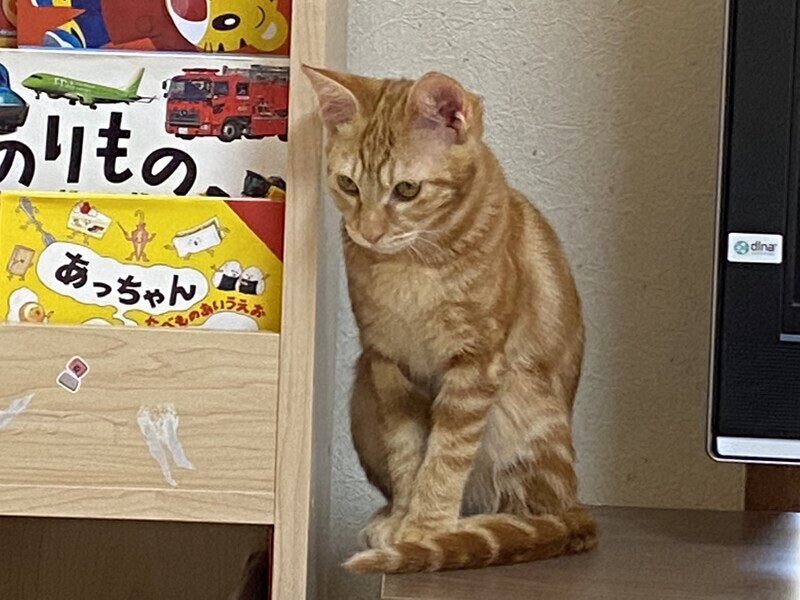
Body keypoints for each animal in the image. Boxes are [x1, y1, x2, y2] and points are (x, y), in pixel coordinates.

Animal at [303, 65, 597, 574]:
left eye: (407, 190)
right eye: (348, 185)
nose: (368, 232)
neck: (410, 266)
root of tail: (578, 504)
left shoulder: (475, 365)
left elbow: (446, 458)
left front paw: (426, 531)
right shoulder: (386, 363)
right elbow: (406, 452)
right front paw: (405, 517)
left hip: (521, 398)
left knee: (529, 512)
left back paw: (470, 526)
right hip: (362, 390)